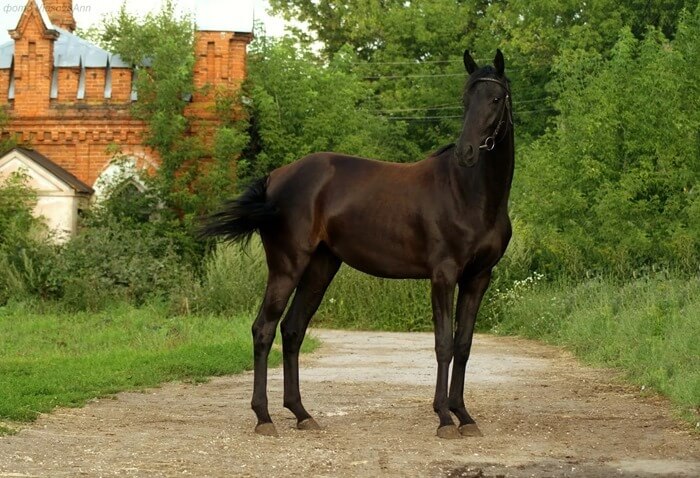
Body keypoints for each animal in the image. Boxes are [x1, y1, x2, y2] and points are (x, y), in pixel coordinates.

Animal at [201, 49, 514, 439]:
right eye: (465, 99)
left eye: (496, 99)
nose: (466, 152)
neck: (469, 194)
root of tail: (275, 178)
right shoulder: (444, 275)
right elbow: (443, 344)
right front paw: (444, 418)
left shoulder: (478, 277)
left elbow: (464, 344)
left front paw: (464, 416)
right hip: (287, 266)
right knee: (264, 329)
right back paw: (264, 417)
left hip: (321, 267)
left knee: (292, 330)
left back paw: (302, 414)